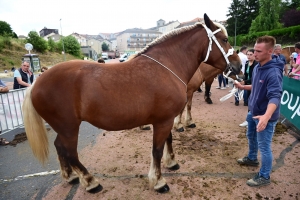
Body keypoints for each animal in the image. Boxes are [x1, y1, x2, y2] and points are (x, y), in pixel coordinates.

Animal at [22, 13, 240, 193]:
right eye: (225, 39)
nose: (238, 65)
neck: (167, 66)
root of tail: (36, 83)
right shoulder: (162, 121)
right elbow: (157, 150)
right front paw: (158, 181)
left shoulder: (166, 119)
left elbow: (168, 141)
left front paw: (171, 162)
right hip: (69, 128)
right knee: (69, 152)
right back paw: (91, 182)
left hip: (64, 128)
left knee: (59, 147)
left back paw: (70, 177)